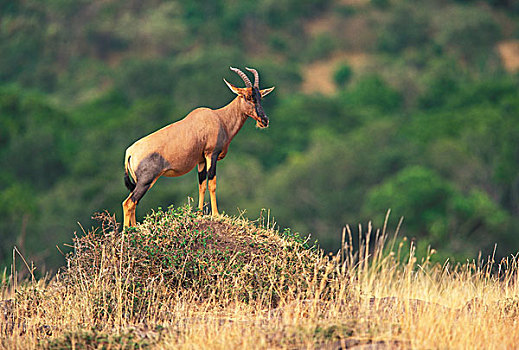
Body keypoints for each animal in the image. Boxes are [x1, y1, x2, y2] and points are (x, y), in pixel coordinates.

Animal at [122, 67, 276, 228]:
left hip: (139, 182)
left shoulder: (201, 160)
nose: (264, 121)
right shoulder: (211, 155)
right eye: (247, 96)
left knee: (133, 203)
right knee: (129, 203)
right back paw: (128, 230)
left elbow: (202, 185)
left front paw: (200, 214)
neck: (218, 118)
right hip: (146, 180)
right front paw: (216, 214)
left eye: (260, 97)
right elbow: (212, 183)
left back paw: (135, 227)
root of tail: (130, 152)